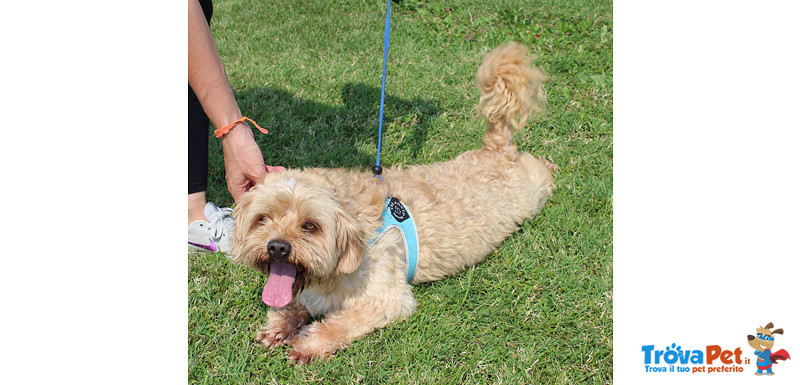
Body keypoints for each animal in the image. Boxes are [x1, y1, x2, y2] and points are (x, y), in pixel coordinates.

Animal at [231, 42, 556, 364]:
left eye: (310, 226)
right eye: (263, 219)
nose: (277, 247)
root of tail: (496, 150)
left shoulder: (387, 298)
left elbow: (340, 323)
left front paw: (308, 345)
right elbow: (294, 305)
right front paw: (280, 326)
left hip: (533, 187)